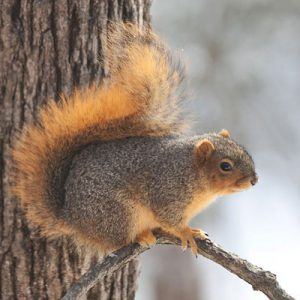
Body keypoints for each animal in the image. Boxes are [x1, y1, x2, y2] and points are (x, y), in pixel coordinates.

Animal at [10, 22, 256, 255]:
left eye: (245, 151)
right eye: (225, 166)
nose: (254, 180)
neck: (194, 175)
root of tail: (71, 217)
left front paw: (190, 230)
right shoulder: (167, 191)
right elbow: (169, 218)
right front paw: (187, 232)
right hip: (119, 213)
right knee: (118, 240)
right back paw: (141, 236)